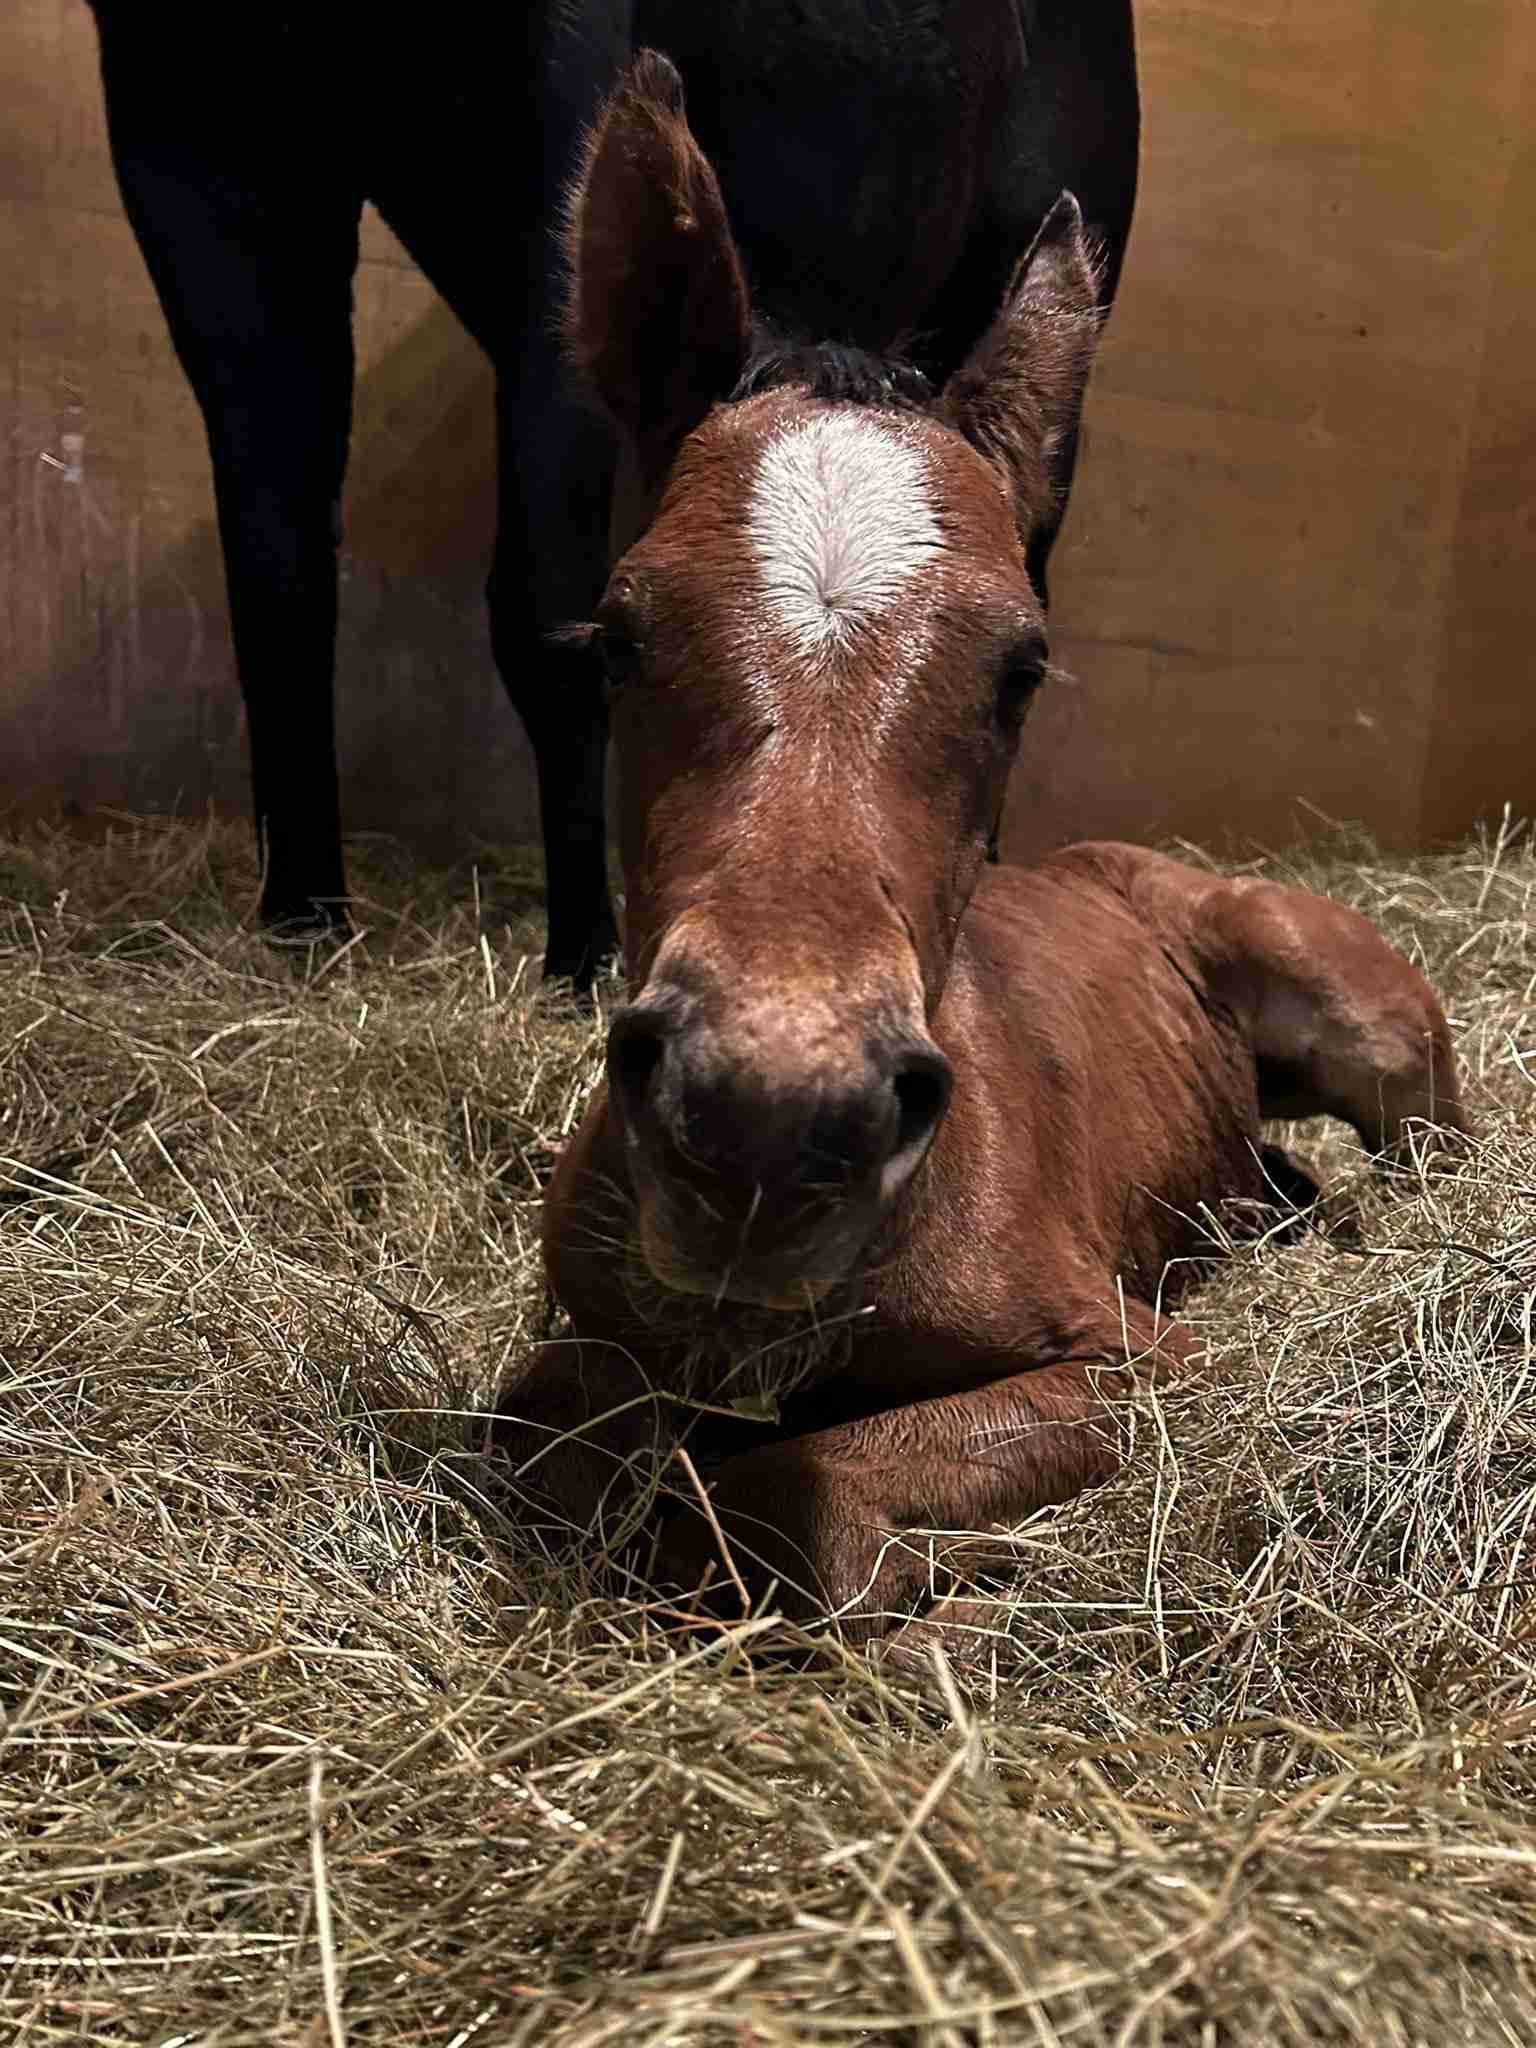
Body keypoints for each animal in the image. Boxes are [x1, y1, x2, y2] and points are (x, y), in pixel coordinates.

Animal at [487, 52, 1467, 1658]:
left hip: (1358, 1023)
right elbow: (561, 1426)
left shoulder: (1133, 1359)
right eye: (618, 634)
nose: (767, 1124)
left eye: (1022, 668)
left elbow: (797, 1481)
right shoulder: (583, 1335)